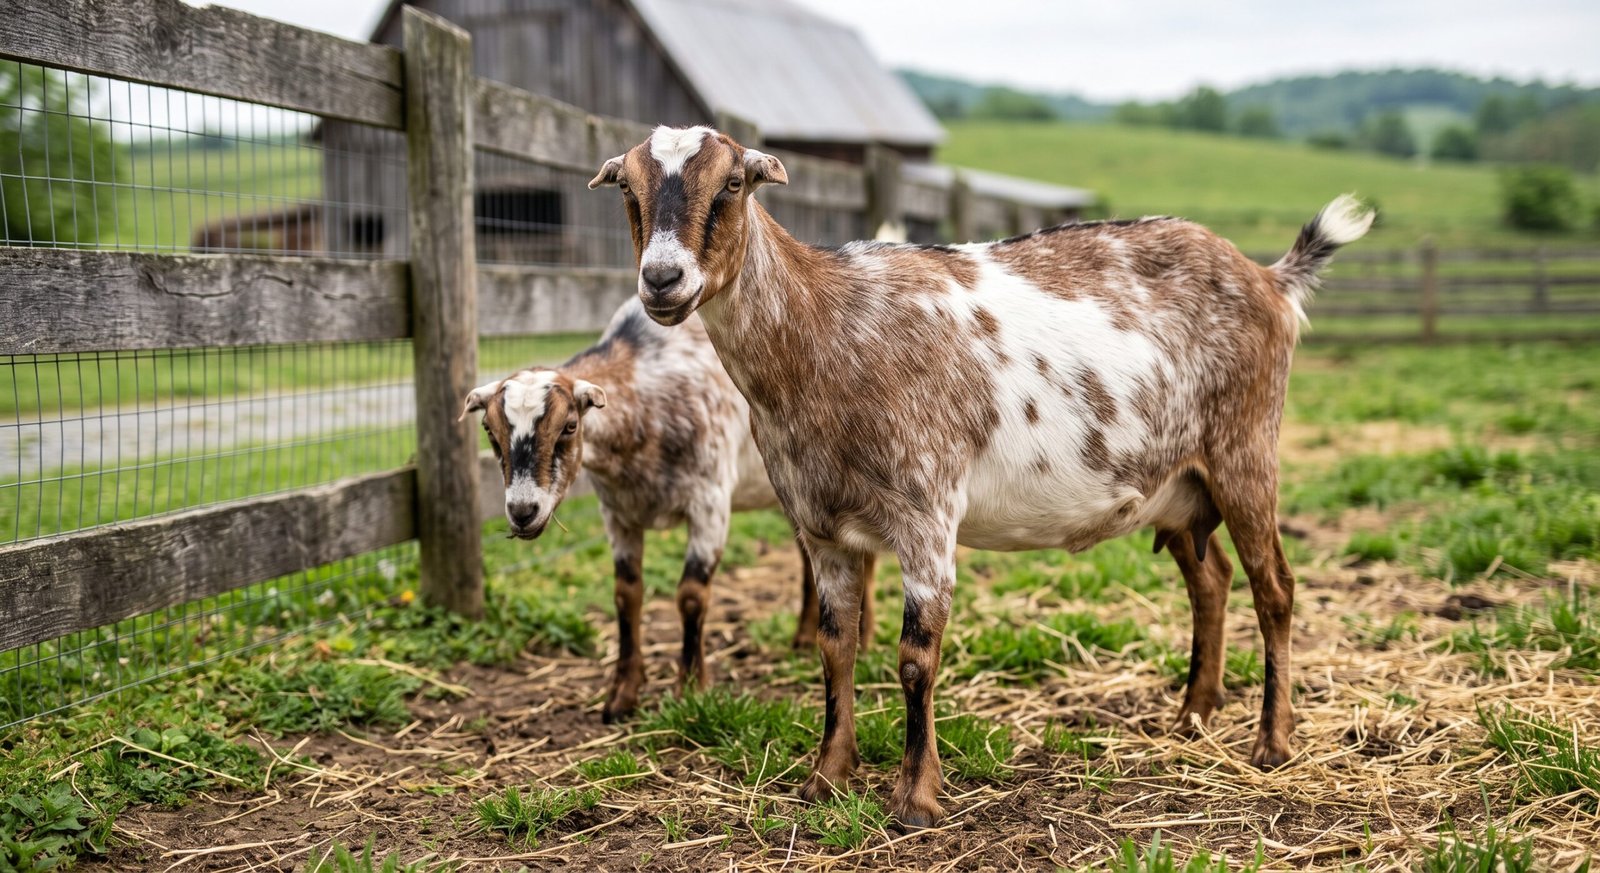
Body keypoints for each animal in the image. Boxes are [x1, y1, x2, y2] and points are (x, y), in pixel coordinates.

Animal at [459, 297, 872, 721]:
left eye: (570, 426)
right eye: (490, 431)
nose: (523, 510)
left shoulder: (709, 503)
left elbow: (690, 595)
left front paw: (689, 688)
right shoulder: (618, 513)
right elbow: (626, 595)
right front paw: (622, 695)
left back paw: (865, 637)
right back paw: (805, 637)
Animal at [589, 126, 1373, 827]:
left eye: (732, 183)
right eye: (626, 187)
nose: (662, 280)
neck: (825, 332)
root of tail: (1271, 277)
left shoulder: (926, 509)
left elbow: (915, 657)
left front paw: (915, 799)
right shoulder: (821, 527)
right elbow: (836, 647)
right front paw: (826, 777)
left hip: (1245, 449)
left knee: (1275, 587)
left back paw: (1271, 741)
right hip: (1176, 484)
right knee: (1209, 581)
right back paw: (1192, 713)